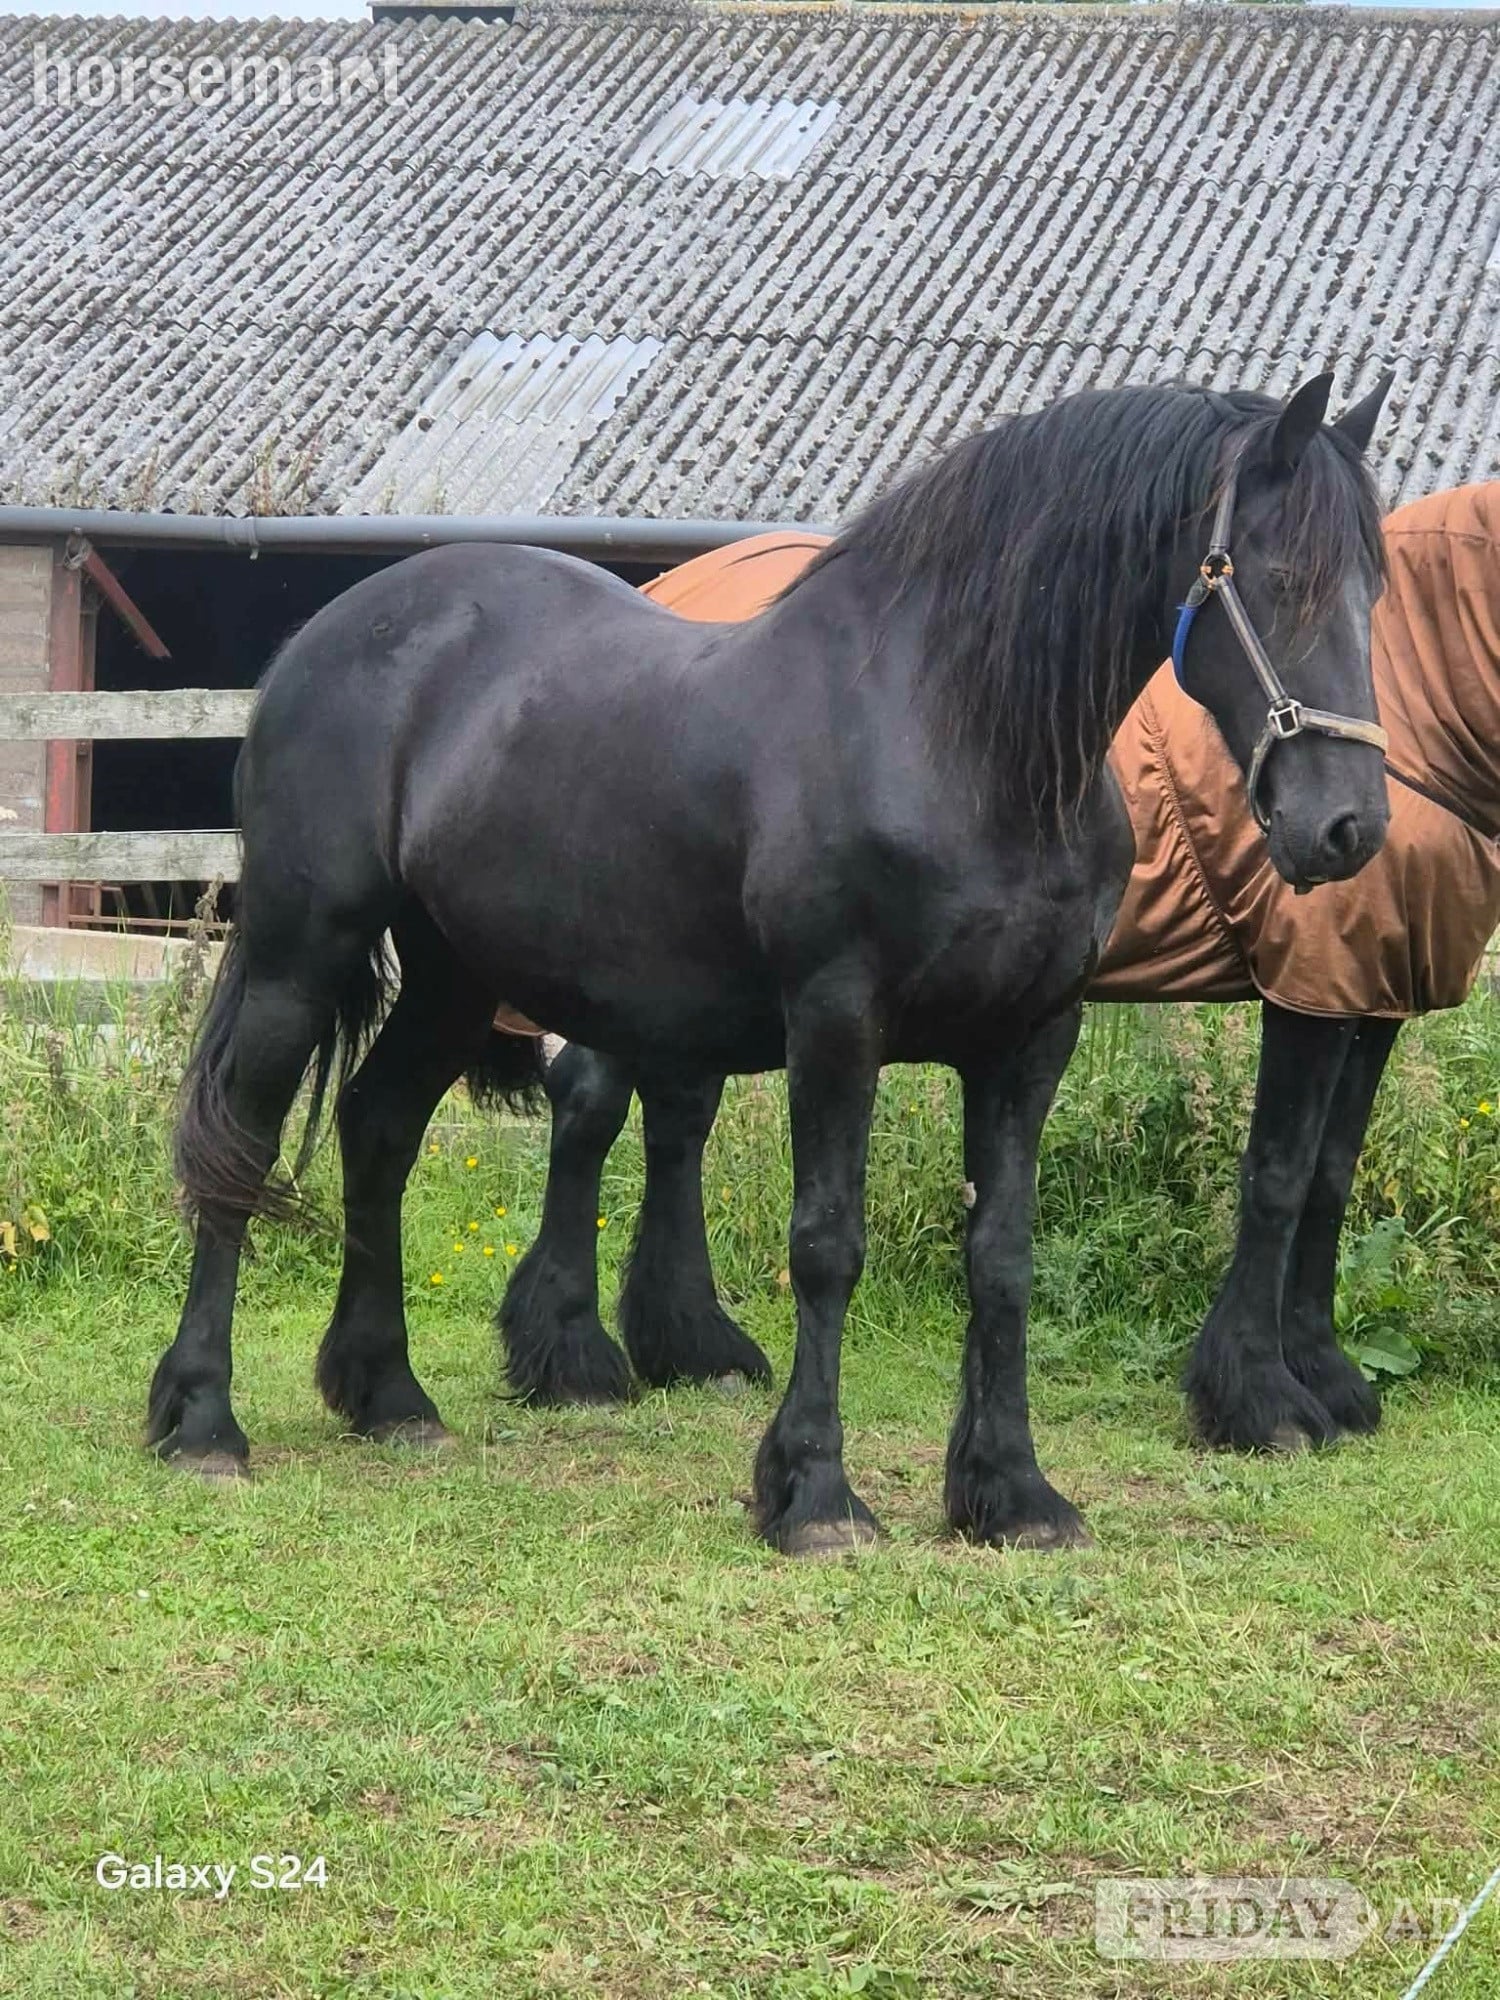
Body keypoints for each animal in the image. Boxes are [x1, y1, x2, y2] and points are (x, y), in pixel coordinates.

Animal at [153, 375, 1393, 1555]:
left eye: (1373, 591)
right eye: (1280, 577)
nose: (1349, 828)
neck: (948, 733)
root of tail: (328, 635)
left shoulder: (1029, 1040)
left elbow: (1001, 1258)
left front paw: (1013, 1492)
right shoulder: (836, 1021)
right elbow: (826, 1245)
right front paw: (815, 1494)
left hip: (456, 975)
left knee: (377, 1127)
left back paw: (389, 1395)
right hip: (298, 955)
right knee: (242, 1143)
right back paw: (204, 1420)